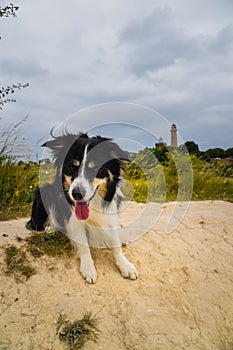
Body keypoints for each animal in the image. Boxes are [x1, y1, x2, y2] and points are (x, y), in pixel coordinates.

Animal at [25, 133, 138, 284]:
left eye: (95, 168)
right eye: (73, 166)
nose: (76, 194)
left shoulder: (109, 214)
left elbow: (115, 242)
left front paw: (125, 265)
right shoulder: (73, 218)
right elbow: (83, 243)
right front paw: (88, 268)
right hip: (45, 191)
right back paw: (50, 229)